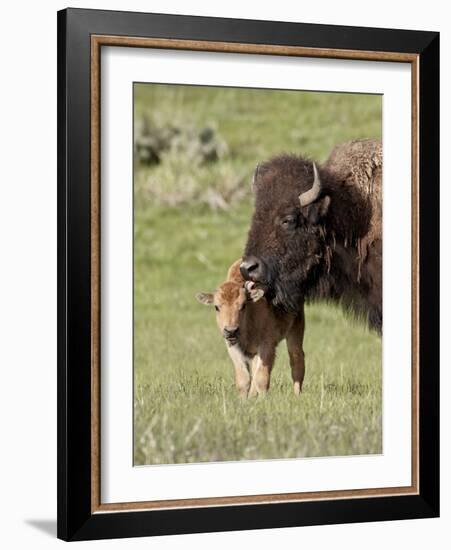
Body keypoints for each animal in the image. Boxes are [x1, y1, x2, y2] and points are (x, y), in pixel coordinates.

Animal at [196, 260, 306, 398]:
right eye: (216, 307)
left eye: (243, 305)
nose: (231, 330)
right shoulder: (233, 347)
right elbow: (244, 379)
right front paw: (243, 399)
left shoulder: (267, 346)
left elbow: (261, 378)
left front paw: (263, 399)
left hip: (296, 328)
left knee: (296, 359)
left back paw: (297, 396)